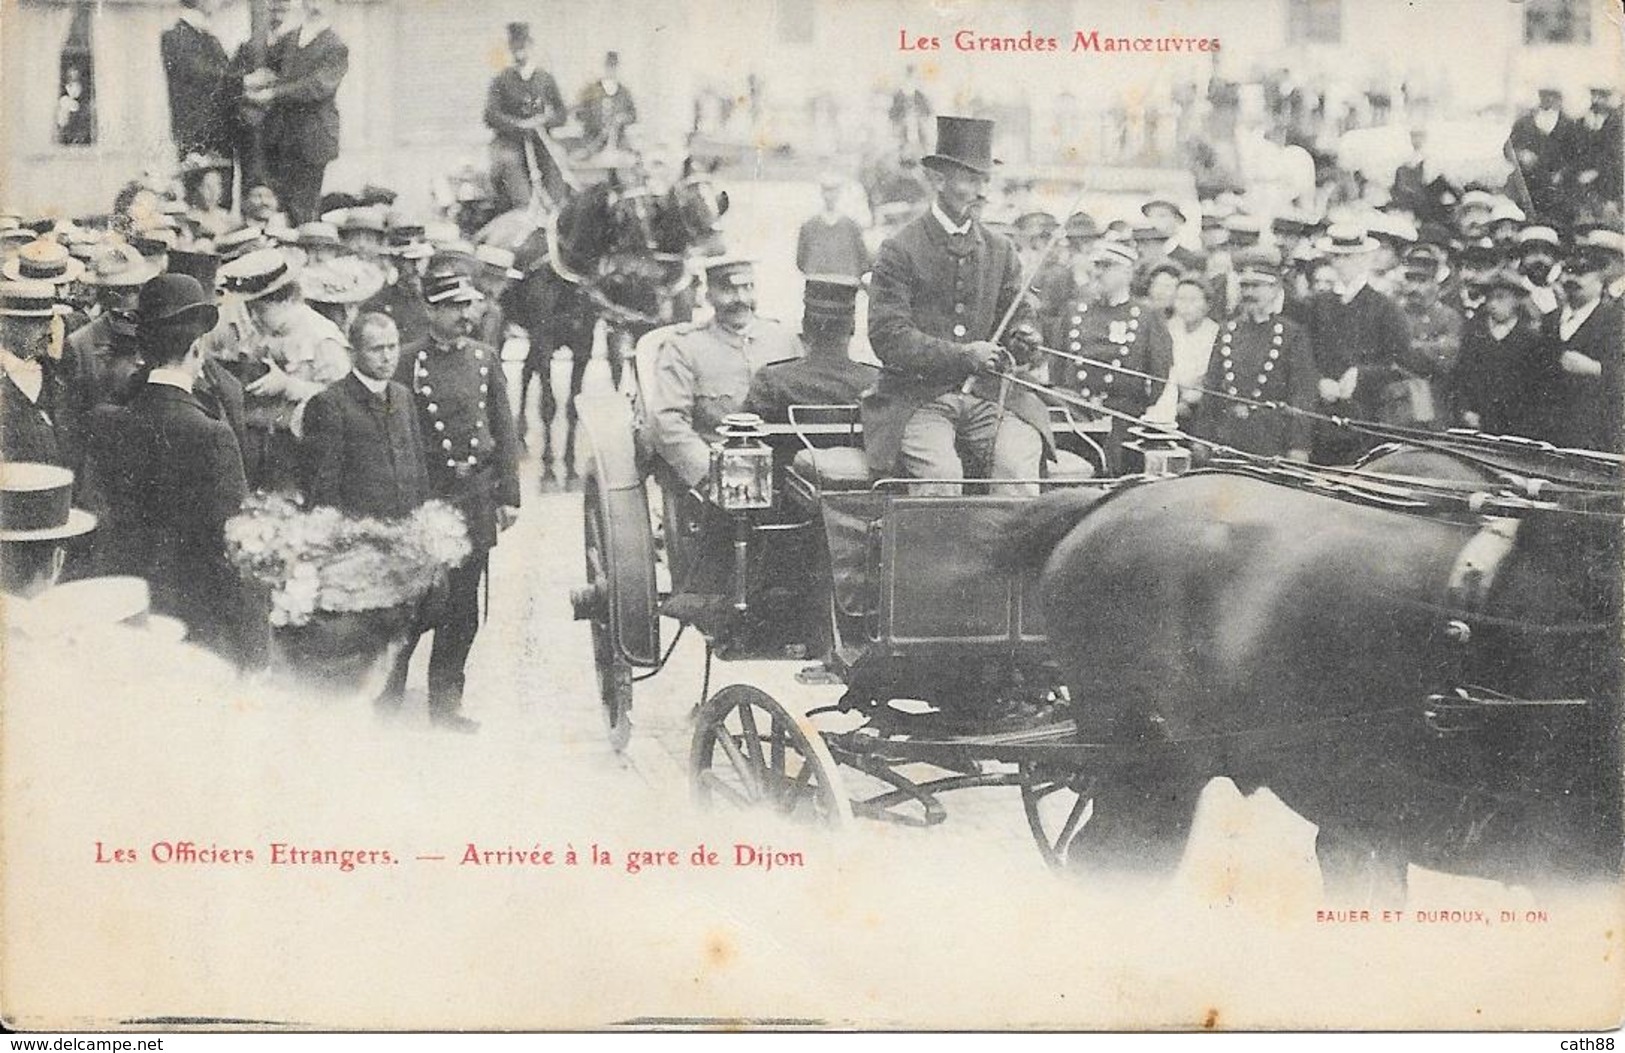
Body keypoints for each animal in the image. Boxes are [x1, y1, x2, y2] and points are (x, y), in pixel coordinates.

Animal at [497, 171, 721, 481]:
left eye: (650, 212)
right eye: (621, 215)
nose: (635, 270)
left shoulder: (586, 342)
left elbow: (572, 404)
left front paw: (570, 468)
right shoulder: (547, 338)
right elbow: (549, 405)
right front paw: (550, 472)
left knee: (528, 370)